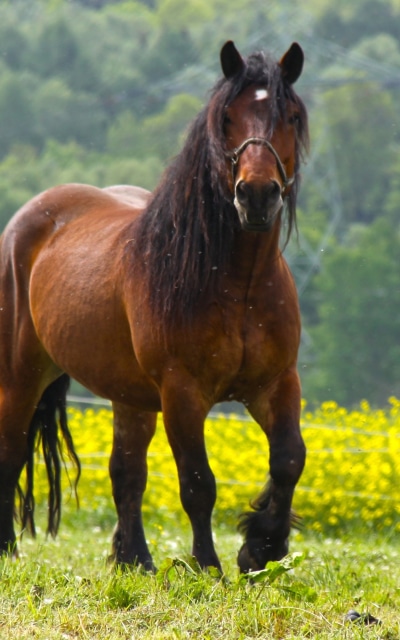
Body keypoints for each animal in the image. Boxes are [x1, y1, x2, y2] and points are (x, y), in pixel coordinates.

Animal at [0, 40, 309, 573]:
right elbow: (198, 483)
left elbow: (289, 458)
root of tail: (28, 217)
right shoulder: (182, 393)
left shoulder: (276, 383)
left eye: (288, 115)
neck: (239, 285)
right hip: (21, 377)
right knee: (11, 452)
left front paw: (261, 546)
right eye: (227, 117)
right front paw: (208, 567)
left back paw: (136, 560)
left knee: (126, 472)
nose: (256, 195)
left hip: (129, 396)